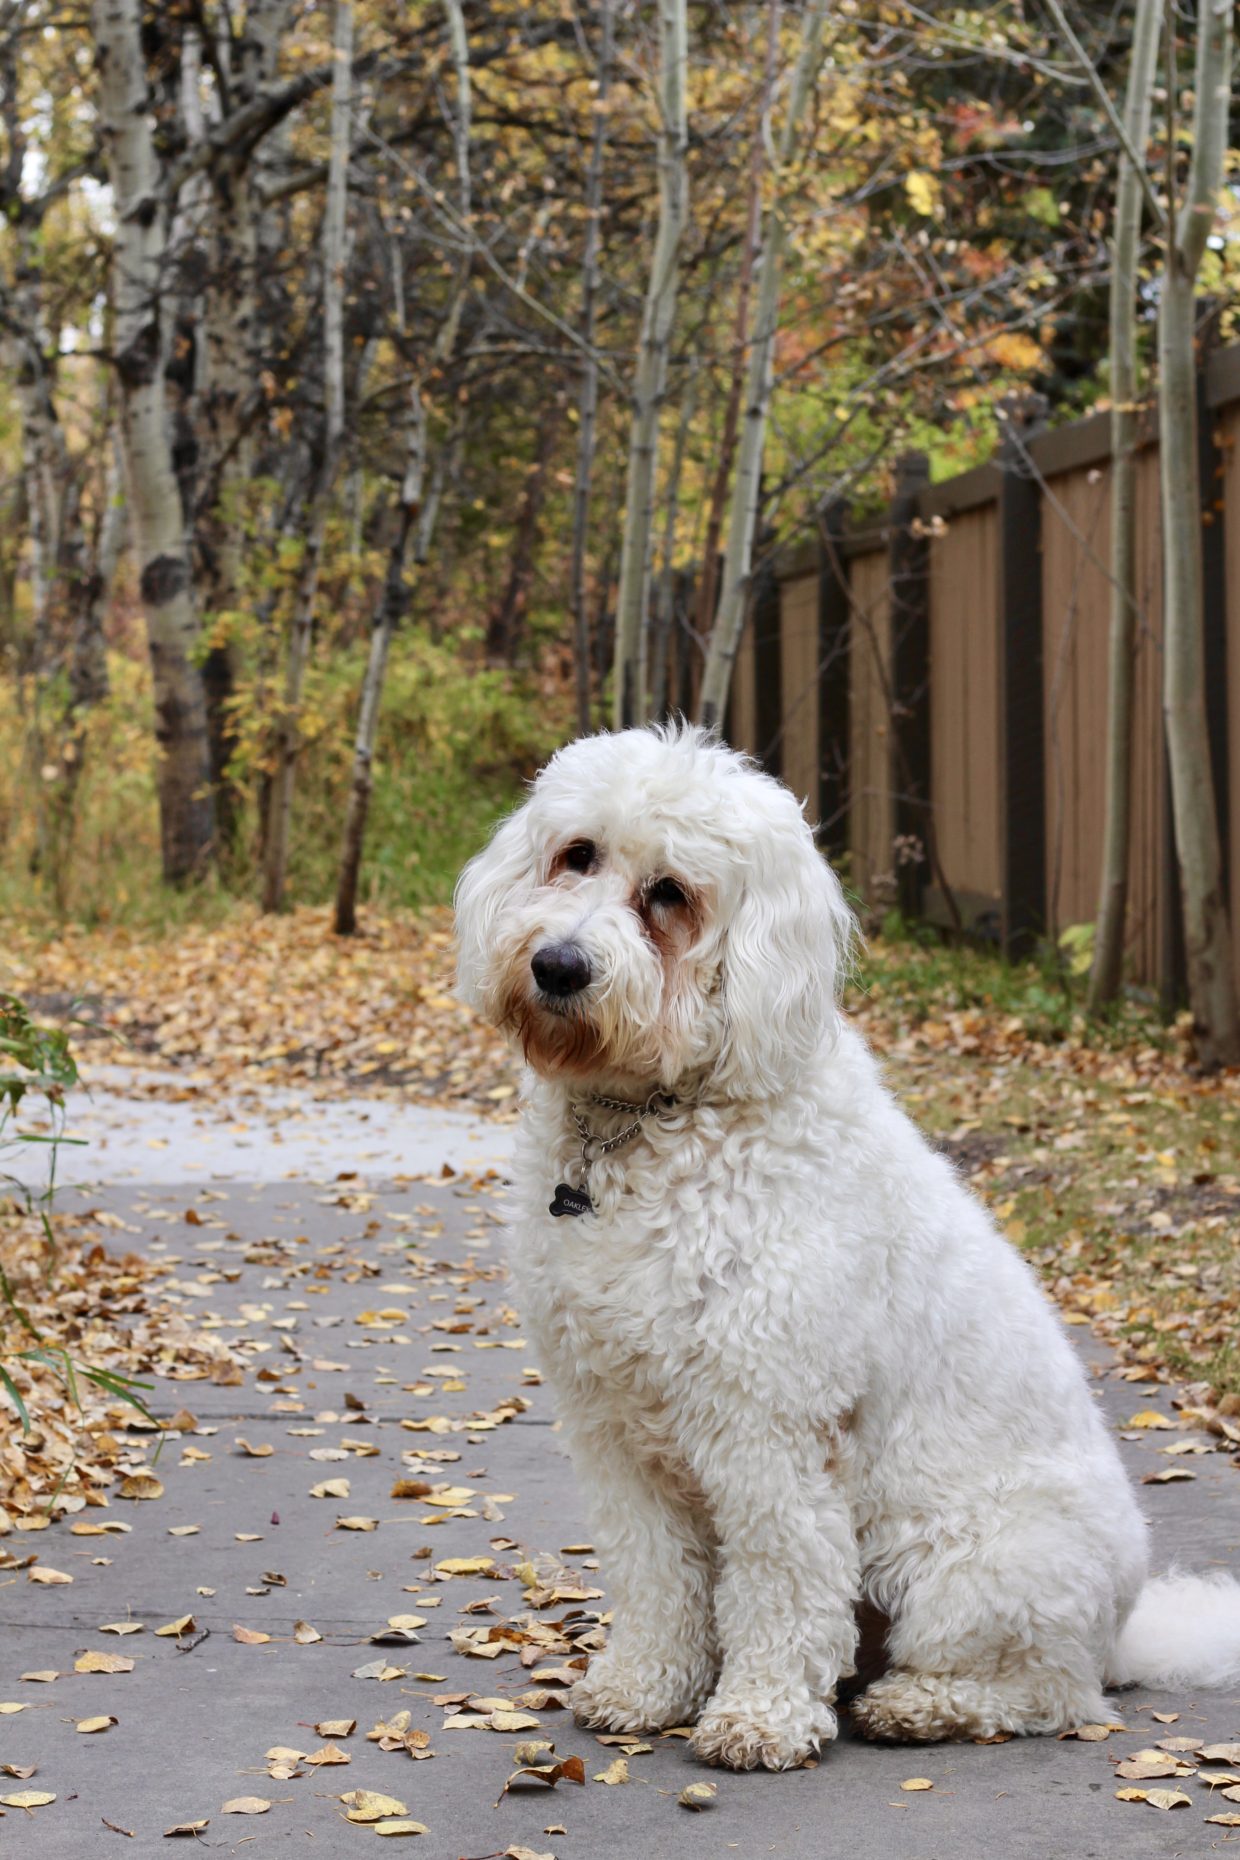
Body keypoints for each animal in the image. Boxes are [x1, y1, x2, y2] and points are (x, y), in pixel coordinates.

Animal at [455, 721, 1240, 1770]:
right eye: (575, 855)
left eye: (670, 894)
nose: (559, 967)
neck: (652, 1121)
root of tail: (1123, 1626)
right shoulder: (613, 1428)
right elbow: (655, 1572)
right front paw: (646, 1686)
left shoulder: (766, 1427)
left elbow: (780, 1581)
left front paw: (759, 1715)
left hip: (964, 1567)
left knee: (1045, 1693)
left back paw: (919, 1706)